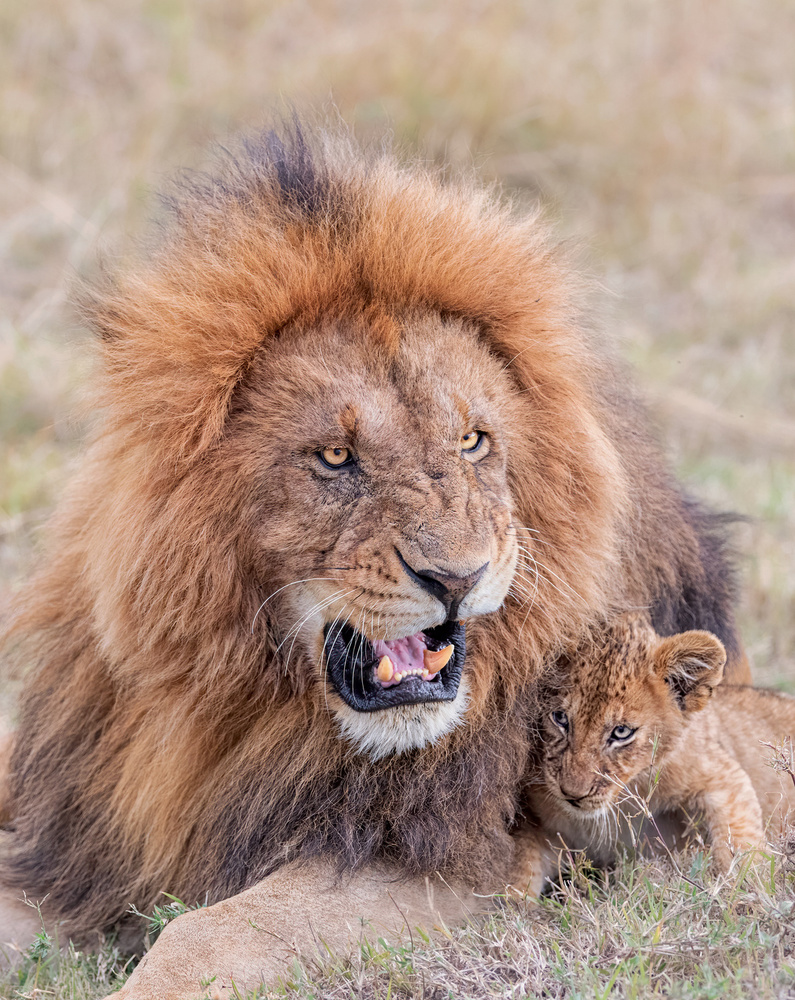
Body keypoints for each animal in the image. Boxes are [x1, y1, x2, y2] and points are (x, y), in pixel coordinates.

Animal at [0, 123, 748, 992]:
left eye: (472, 441)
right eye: (334, 457)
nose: (456, 578)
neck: (248, 709)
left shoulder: (455, 859)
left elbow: (204, 934)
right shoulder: (71, 846)